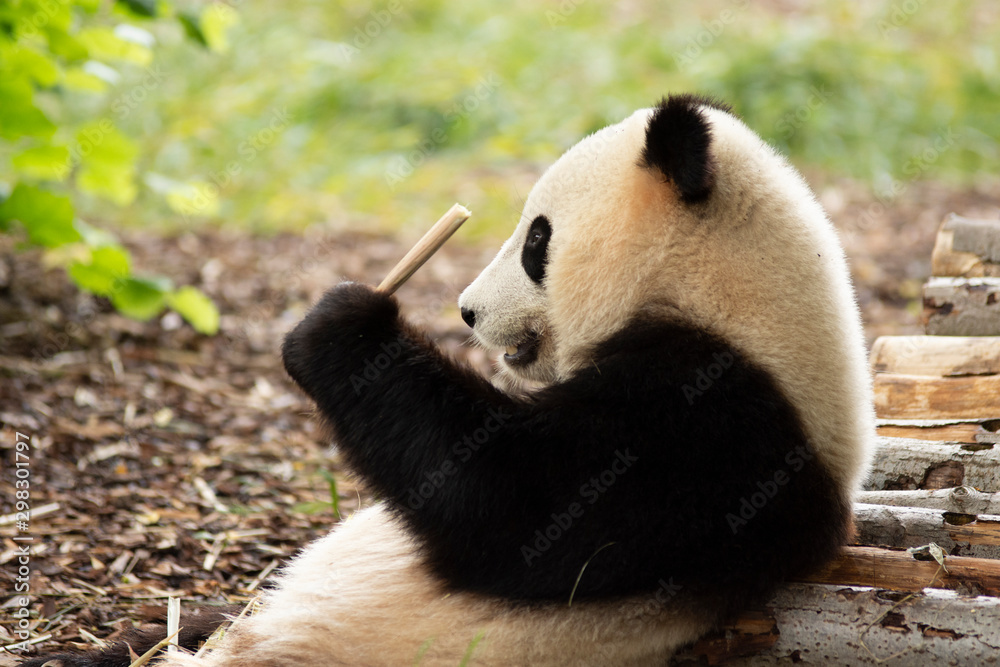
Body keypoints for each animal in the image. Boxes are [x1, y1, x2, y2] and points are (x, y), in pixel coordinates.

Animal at [25, 94, 874, 666]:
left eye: (536, 240)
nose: (466, 309)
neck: (728, 298)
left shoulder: (722, 421)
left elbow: (518, 503)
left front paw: (339, 327)